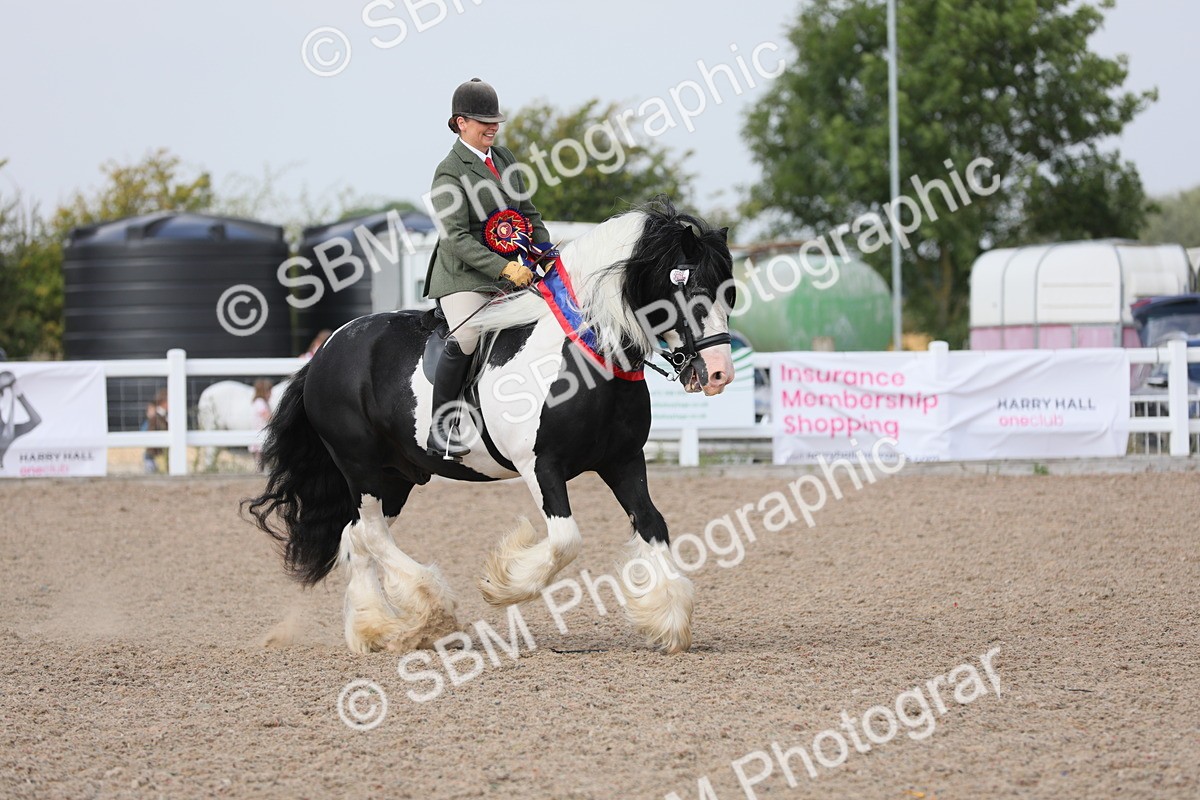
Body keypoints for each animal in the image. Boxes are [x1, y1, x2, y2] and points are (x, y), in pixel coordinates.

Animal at [245, 199, 736, 655]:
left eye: (728, 295)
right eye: (692, 292)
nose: (718, 374)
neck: (584, 357)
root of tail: (324, 353)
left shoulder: (624, 461)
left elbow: (652, 523)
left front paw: (669, 621)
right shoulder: (541, 465)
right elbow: (566, 540)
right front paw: (502, 582)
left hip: (396, 475)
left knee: (357, 537)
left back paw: (376, 629)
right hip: (361, 468)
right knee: (370, 535)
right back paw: (430, 610)